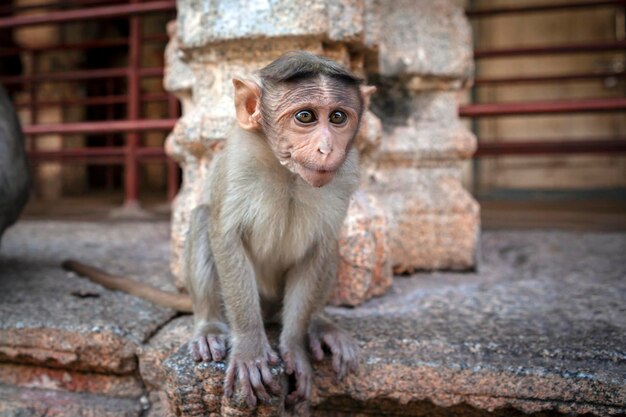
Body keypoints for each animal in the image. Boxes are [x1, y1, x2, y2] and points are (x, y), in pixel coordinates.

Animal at [183, 52, 372, 406]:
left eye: (337, 117)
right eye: (305, 116)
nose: (327, 148)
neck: (289, 173)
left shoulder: (344, 175)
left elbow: (319, 249)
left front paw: (294, 347)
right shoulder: (238, 162)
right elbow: (226, 238)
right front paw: (250, 350)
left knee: (331, 247)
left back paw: (320, 323)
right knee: (202, 218)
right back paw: (209, 327)